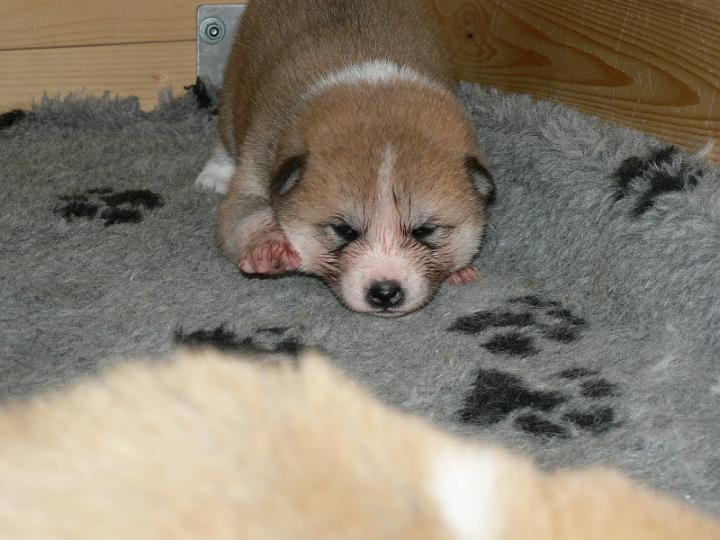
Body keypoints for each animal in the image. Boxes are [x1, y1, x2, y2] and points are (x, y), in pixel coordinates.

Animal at [196, 0, 495, 317]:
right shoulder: (258, 162)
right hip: (234, 85)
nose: (385, 292)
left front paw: (460, 270)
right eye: (344, 230)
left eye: (424, 230)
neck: (374, 89)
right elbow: (243, 214)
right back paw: (213, 174)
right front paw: (268, 245)